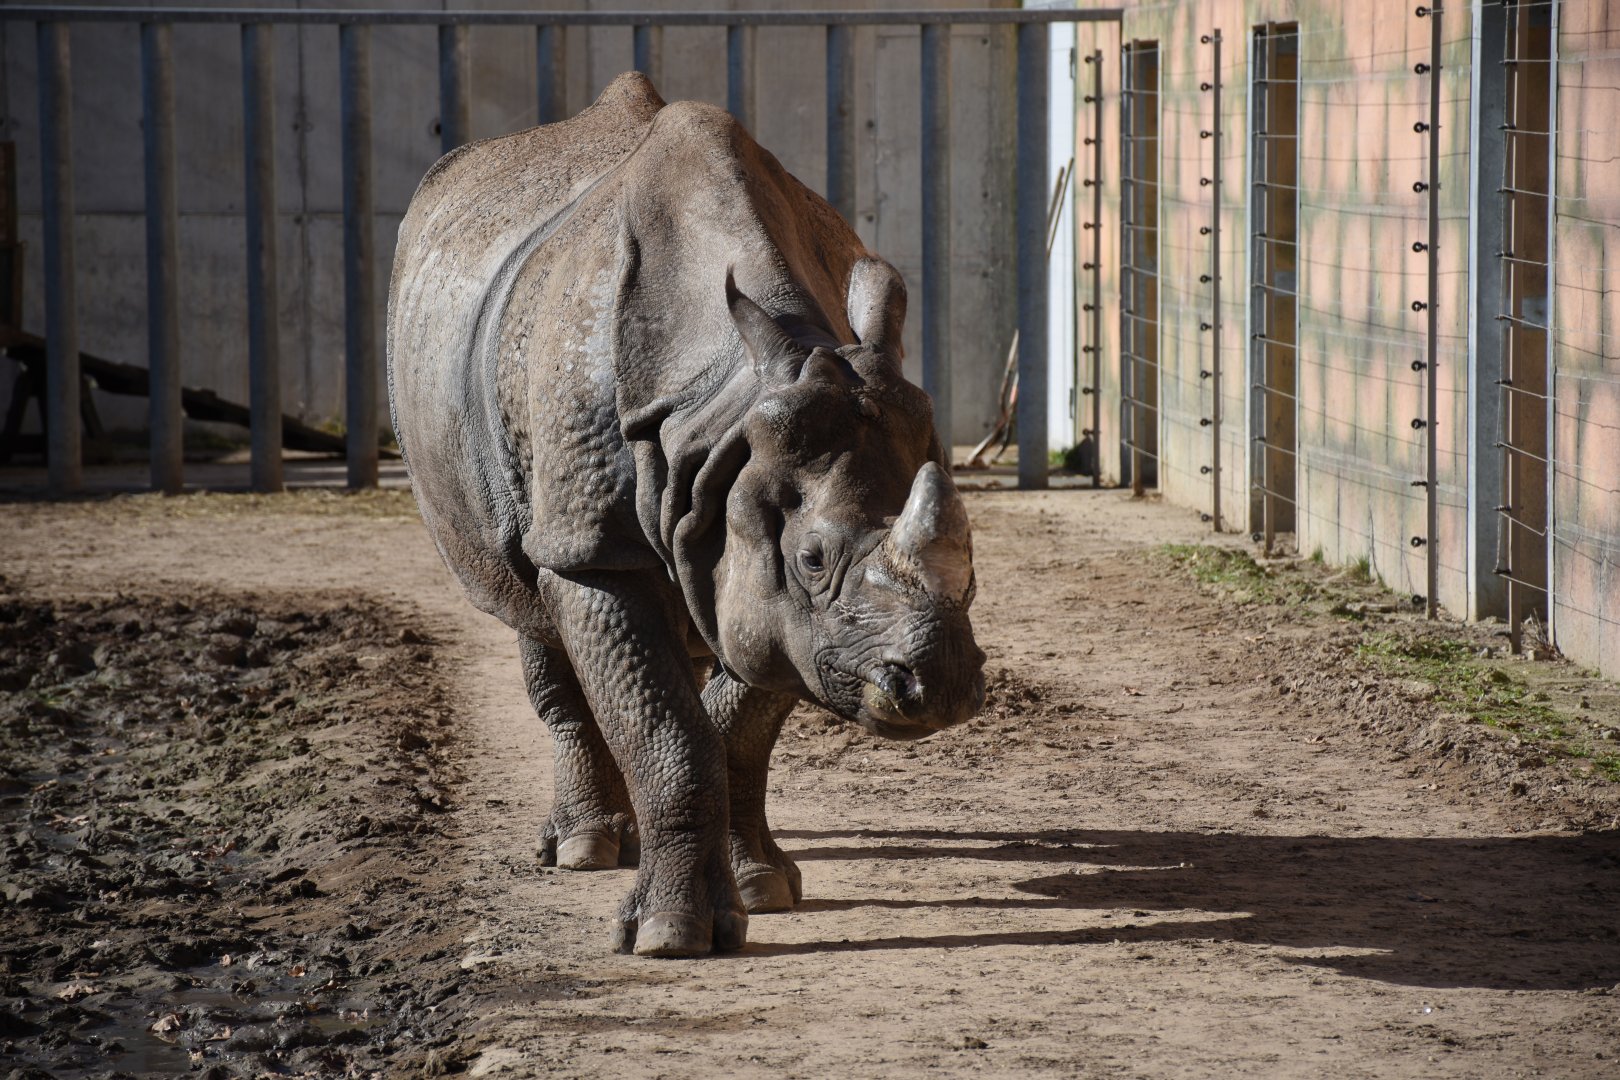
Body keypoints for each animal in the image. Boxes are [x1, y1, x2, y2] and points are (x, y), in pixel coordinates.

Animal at [387, 73, 986, 957]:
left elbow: (733, 728)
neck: (725, 410)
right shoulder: (596, 544)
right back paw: (583, 848)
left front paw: (760, 889)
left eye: (972, 569)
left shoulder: (757, 563)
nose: (936, 685)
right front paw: (671, 935)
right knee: (530, 603)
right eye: (813, 560)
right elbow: (667, 731)